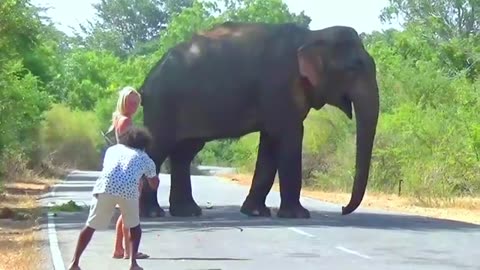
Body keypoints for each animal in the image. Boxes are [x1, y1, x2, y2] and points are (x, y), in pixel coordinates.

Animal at [137, 21, 380, 219]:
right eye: (354, 67)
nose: (343, 209)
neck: (312, 35)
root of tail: (147, 81)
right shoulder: (279, 85)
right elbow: (290, 136)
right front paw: (299, 215)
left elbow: (270, 141)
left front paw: (255, 213)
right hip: (163, 105)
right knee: (157, 150)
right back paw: (153, 214)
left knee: (184, 153)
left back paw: (186, 212)